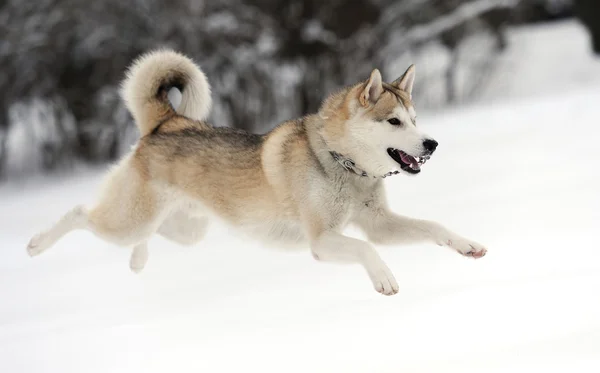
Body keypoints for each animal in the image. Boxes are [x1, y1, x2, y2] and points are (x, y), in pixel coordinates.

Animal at [27, 48, 488, 294]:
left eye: (415, 119)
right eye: (394, 122)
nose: (431, 144)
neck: (341, 163)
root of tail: (168, 122)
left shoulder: (378, 224)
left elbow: (432, 226)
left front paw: (467, 246)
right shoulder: (322, 241)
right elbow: (366, 250)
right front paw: (384, 279)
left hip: (186, 229)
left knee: (147, 237)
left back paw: (137, 263)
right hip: (130, 220)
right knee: (80, 214)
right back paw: (35, 244)